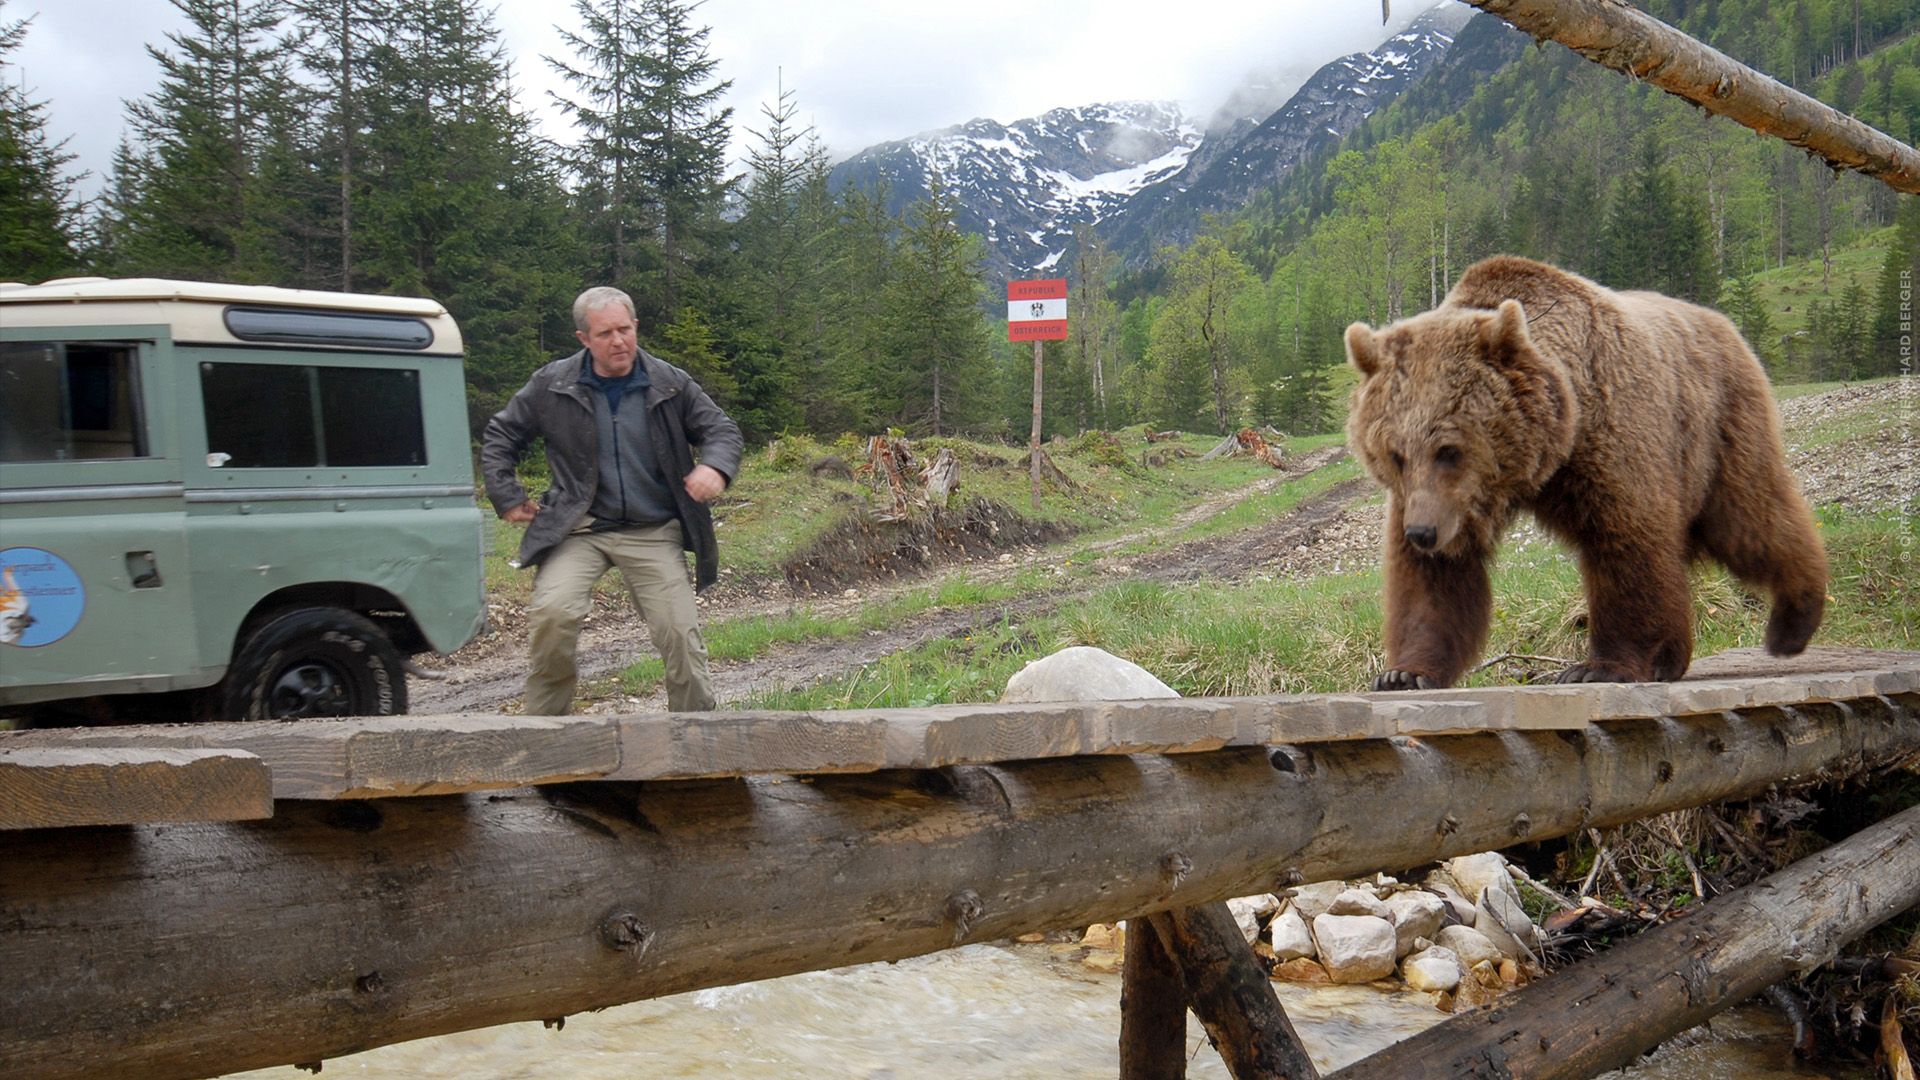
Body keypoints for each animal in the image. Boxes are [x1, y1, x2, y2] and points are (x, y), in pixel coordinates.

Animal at [1343, 255, 1827, 690]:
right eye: (1395, 453)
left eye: (1448, 449)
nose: (1422, 533)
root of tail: (1722, 322)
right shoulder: (1441, 502)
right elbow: (1435, 583)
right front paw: (1403, 673)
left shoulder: (1612, 441)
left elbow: (1627, 546)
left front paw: (1599, 667)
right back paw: (1675, 656)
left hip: (1718, 427)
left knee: (1749, 520)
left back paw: (1794, 620)